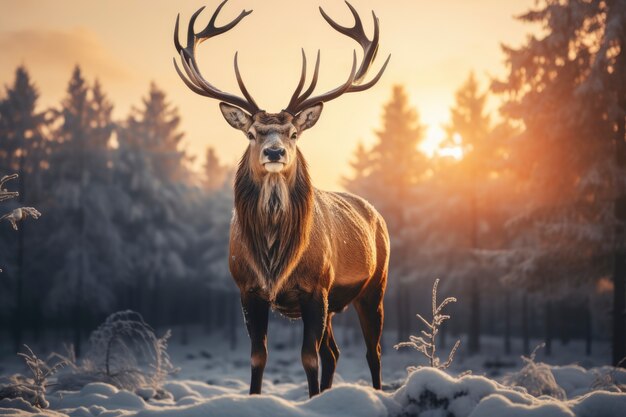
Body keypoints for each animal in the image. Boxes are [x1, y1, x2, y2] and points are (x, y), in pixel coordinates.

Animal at [173, 0, 388, 396]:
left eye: (293, 132)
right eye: (252, 132)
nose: (274, 152)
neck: (275, 256)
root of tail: (377, 216)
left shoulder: (316, 288)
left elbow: (308, 358)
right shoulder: (247, 290)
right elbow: (259, 356)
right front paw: (257, 396)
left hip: (374, 286)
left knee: (372, 351)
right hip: (335, 305)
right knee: (334, 352)